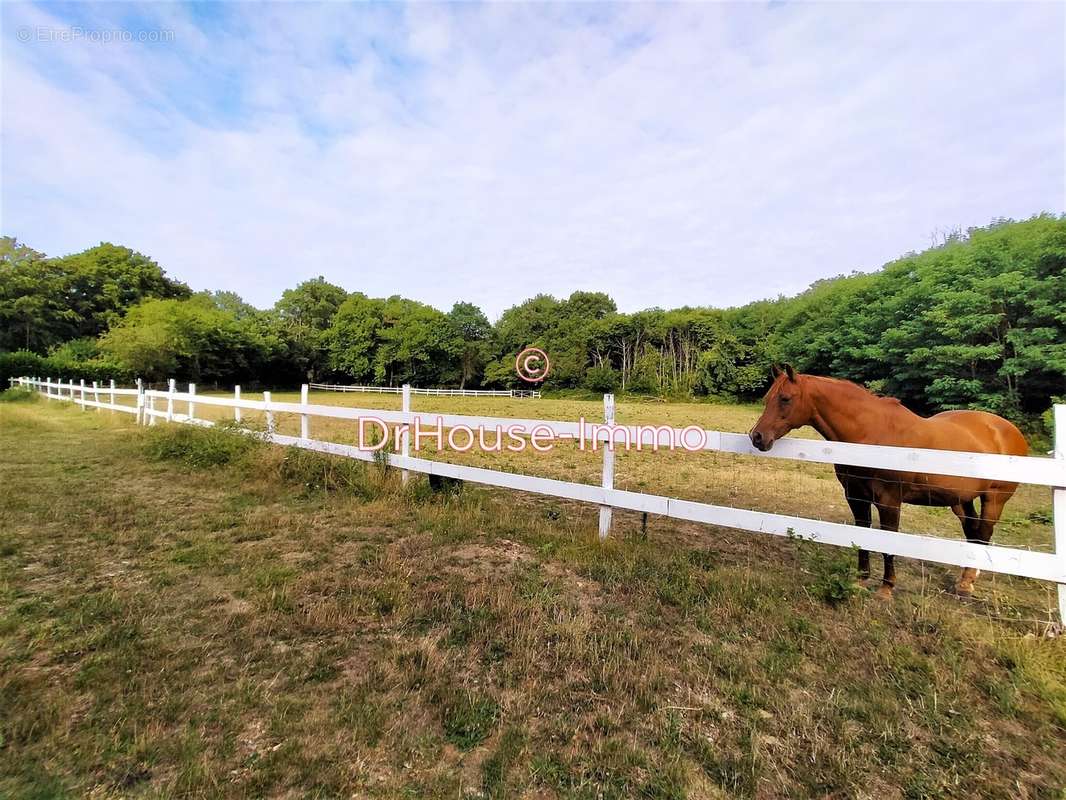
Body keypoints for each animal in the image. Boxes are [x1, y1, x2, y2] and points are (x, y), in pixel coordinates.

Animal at [746, 366, 1027, 597]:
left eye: (785, 399)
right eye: (767, 399)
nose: (757, 437)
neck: (871, 436)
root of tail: (1009, 430)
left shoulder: (889, 501)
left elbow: (887, 540)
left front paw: (886, 588)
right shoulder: (856, 497)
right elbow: (863, 534)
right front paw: (861, 580)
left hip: (994, 499)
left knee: (984, 533)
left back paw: (967, 584)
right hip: (960, 500)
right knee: (973, 533)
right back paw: (965, 579)